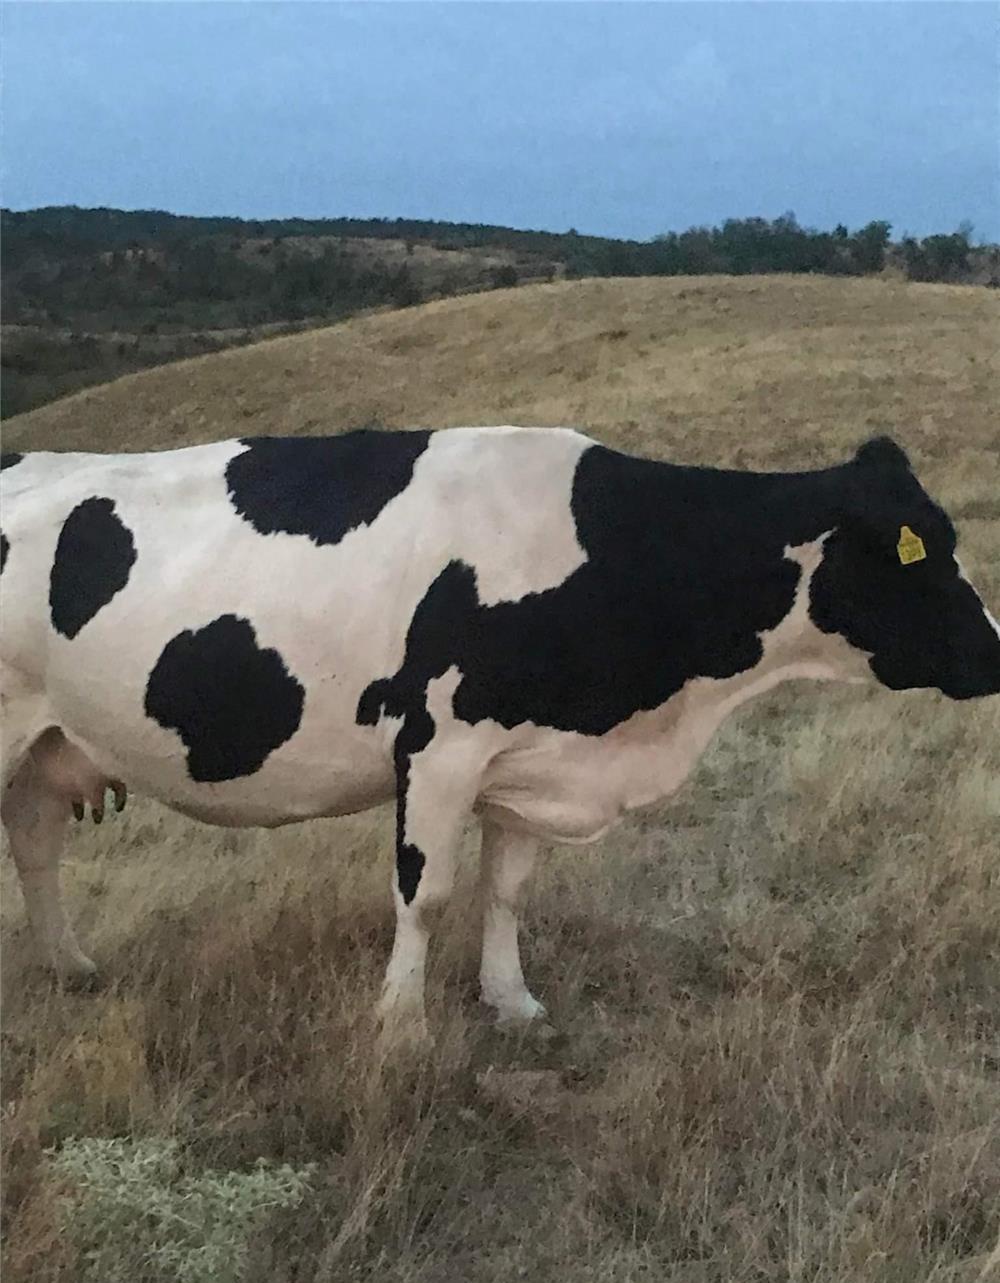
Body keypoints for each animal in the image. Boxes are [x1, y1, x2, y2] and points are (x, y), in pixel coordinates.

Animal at [2, 428, 998, 1044]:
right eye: (921, 554)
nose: (995, 651)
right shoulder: (439, 744)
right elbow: (426, 894)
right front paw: (400, 1028)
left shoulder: (531, 754)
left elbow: (508, 890)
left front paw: (512, 1001)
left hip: (44, 743)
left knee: (35, 845)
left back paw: (67, 963)